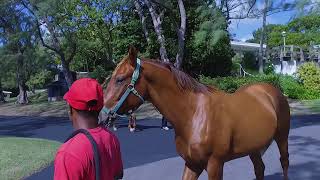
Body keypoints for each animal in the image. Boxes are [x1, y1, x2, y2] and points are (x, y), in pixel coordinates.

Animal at [104, 46, 290, 180]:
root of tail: (270, 89)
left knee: (284, 162)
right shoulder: (192, 164)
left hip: (282, 138)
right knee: (260, 168)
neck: (194, 115)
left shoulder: (215, 164)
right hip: (253, 147)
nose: (102, 114)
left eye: (120, 79)